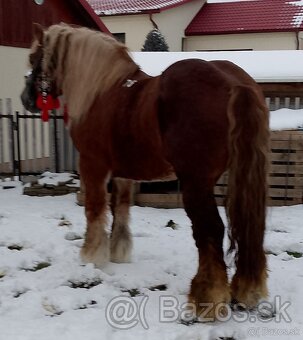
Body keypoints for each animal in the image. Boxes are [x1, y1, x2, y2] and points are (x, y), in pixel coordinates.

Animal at [20, 23, 270, 318]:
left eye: (33, 58)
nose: (27, 99)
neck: (102, 91)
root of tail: (235, 84)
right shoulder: (123, 173)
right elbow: (121, 208)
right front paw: (118, 252)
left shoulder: (92, 165)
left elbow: (95, 209)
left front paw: (92, 256)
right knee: (250, 227)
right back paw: (246, 292)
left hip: (196, 184)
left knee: (210, 230)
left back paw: (205, 299)